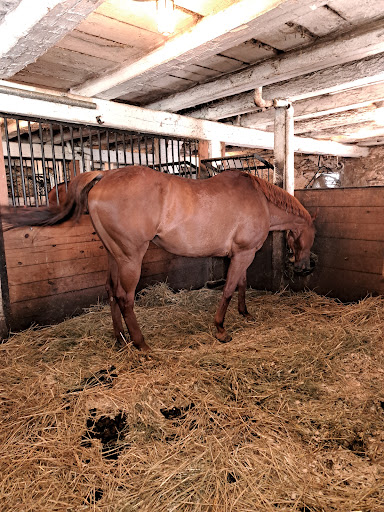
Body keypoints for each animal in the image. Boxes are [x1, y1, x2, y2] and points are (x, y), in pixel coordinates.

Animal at [3, 167, 316, 352]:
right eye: (312, 236)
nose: (303, 268)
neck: (259, 200)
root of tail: (105, 176)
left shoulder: (241, 254)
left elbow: (240, 285)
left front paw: (245, 313)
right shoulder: (244, 253)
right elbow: (228, 289)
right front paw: (221, 329)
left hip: (115, 256)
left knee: (111, 292)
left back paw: (120, 339)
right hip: (131, 258)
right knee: (125, 297)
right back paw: (141, 344)